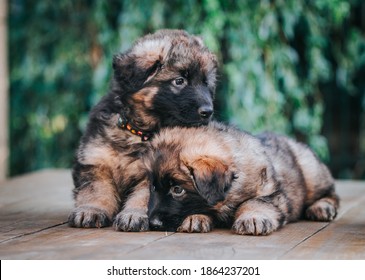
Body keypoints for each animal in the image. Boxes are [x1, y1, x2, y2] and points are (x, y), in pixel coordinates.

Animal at [67, 28, 216, 231]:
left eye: (206, 83)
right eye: (179, 81)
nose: (208, 111)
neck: (139, 132)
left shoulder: (154, 173)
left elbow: (145, 197)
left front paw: (133, 214)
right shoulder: (96, 161)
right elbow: (95, 189)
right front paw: (91, 210)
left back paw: (196, 218)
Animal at [145, 122, 338, 234]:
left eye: (177, 189)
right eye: (153, 187)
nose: (153, 223)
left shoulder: (273, 193)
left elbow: (255, 202)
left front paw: (252, 218)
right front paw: (196, 218)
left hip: (311, 171)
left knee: (332, 192)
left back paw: (322, 207)